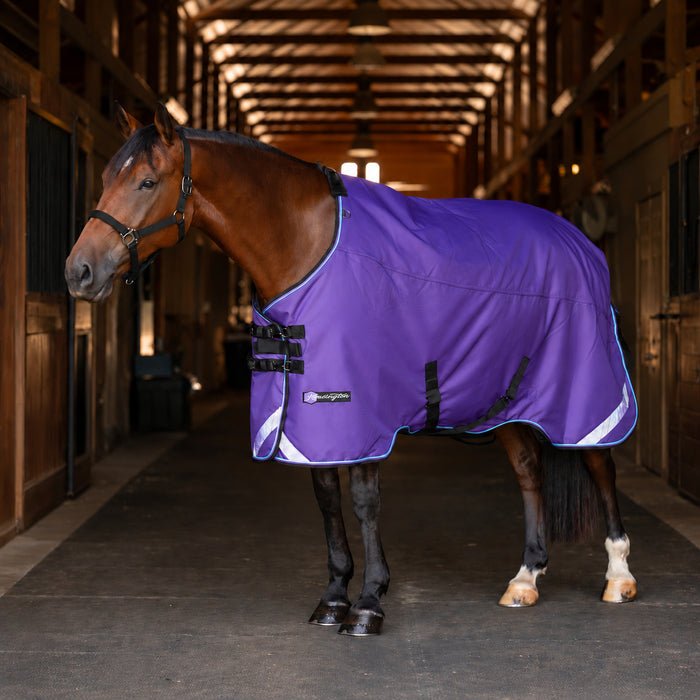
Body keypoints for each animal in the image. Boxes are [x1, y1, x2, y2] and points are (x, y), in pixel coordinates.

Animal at [65, 104, 638, 637]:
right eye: (104, 178)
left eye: (146, 181)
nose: (78, 272)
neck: (306, 242)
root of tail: (580, 242)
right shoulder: (312, 414)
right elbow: (326, 500)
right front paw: (334, 597)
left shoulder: (359, 408)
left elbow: (363, 501)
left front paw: (368, 604)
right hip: (511, 400)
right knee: (528, 471)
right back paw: (525, 578)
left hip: (588, 396)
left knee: (601, 465)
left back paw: (618, 576)